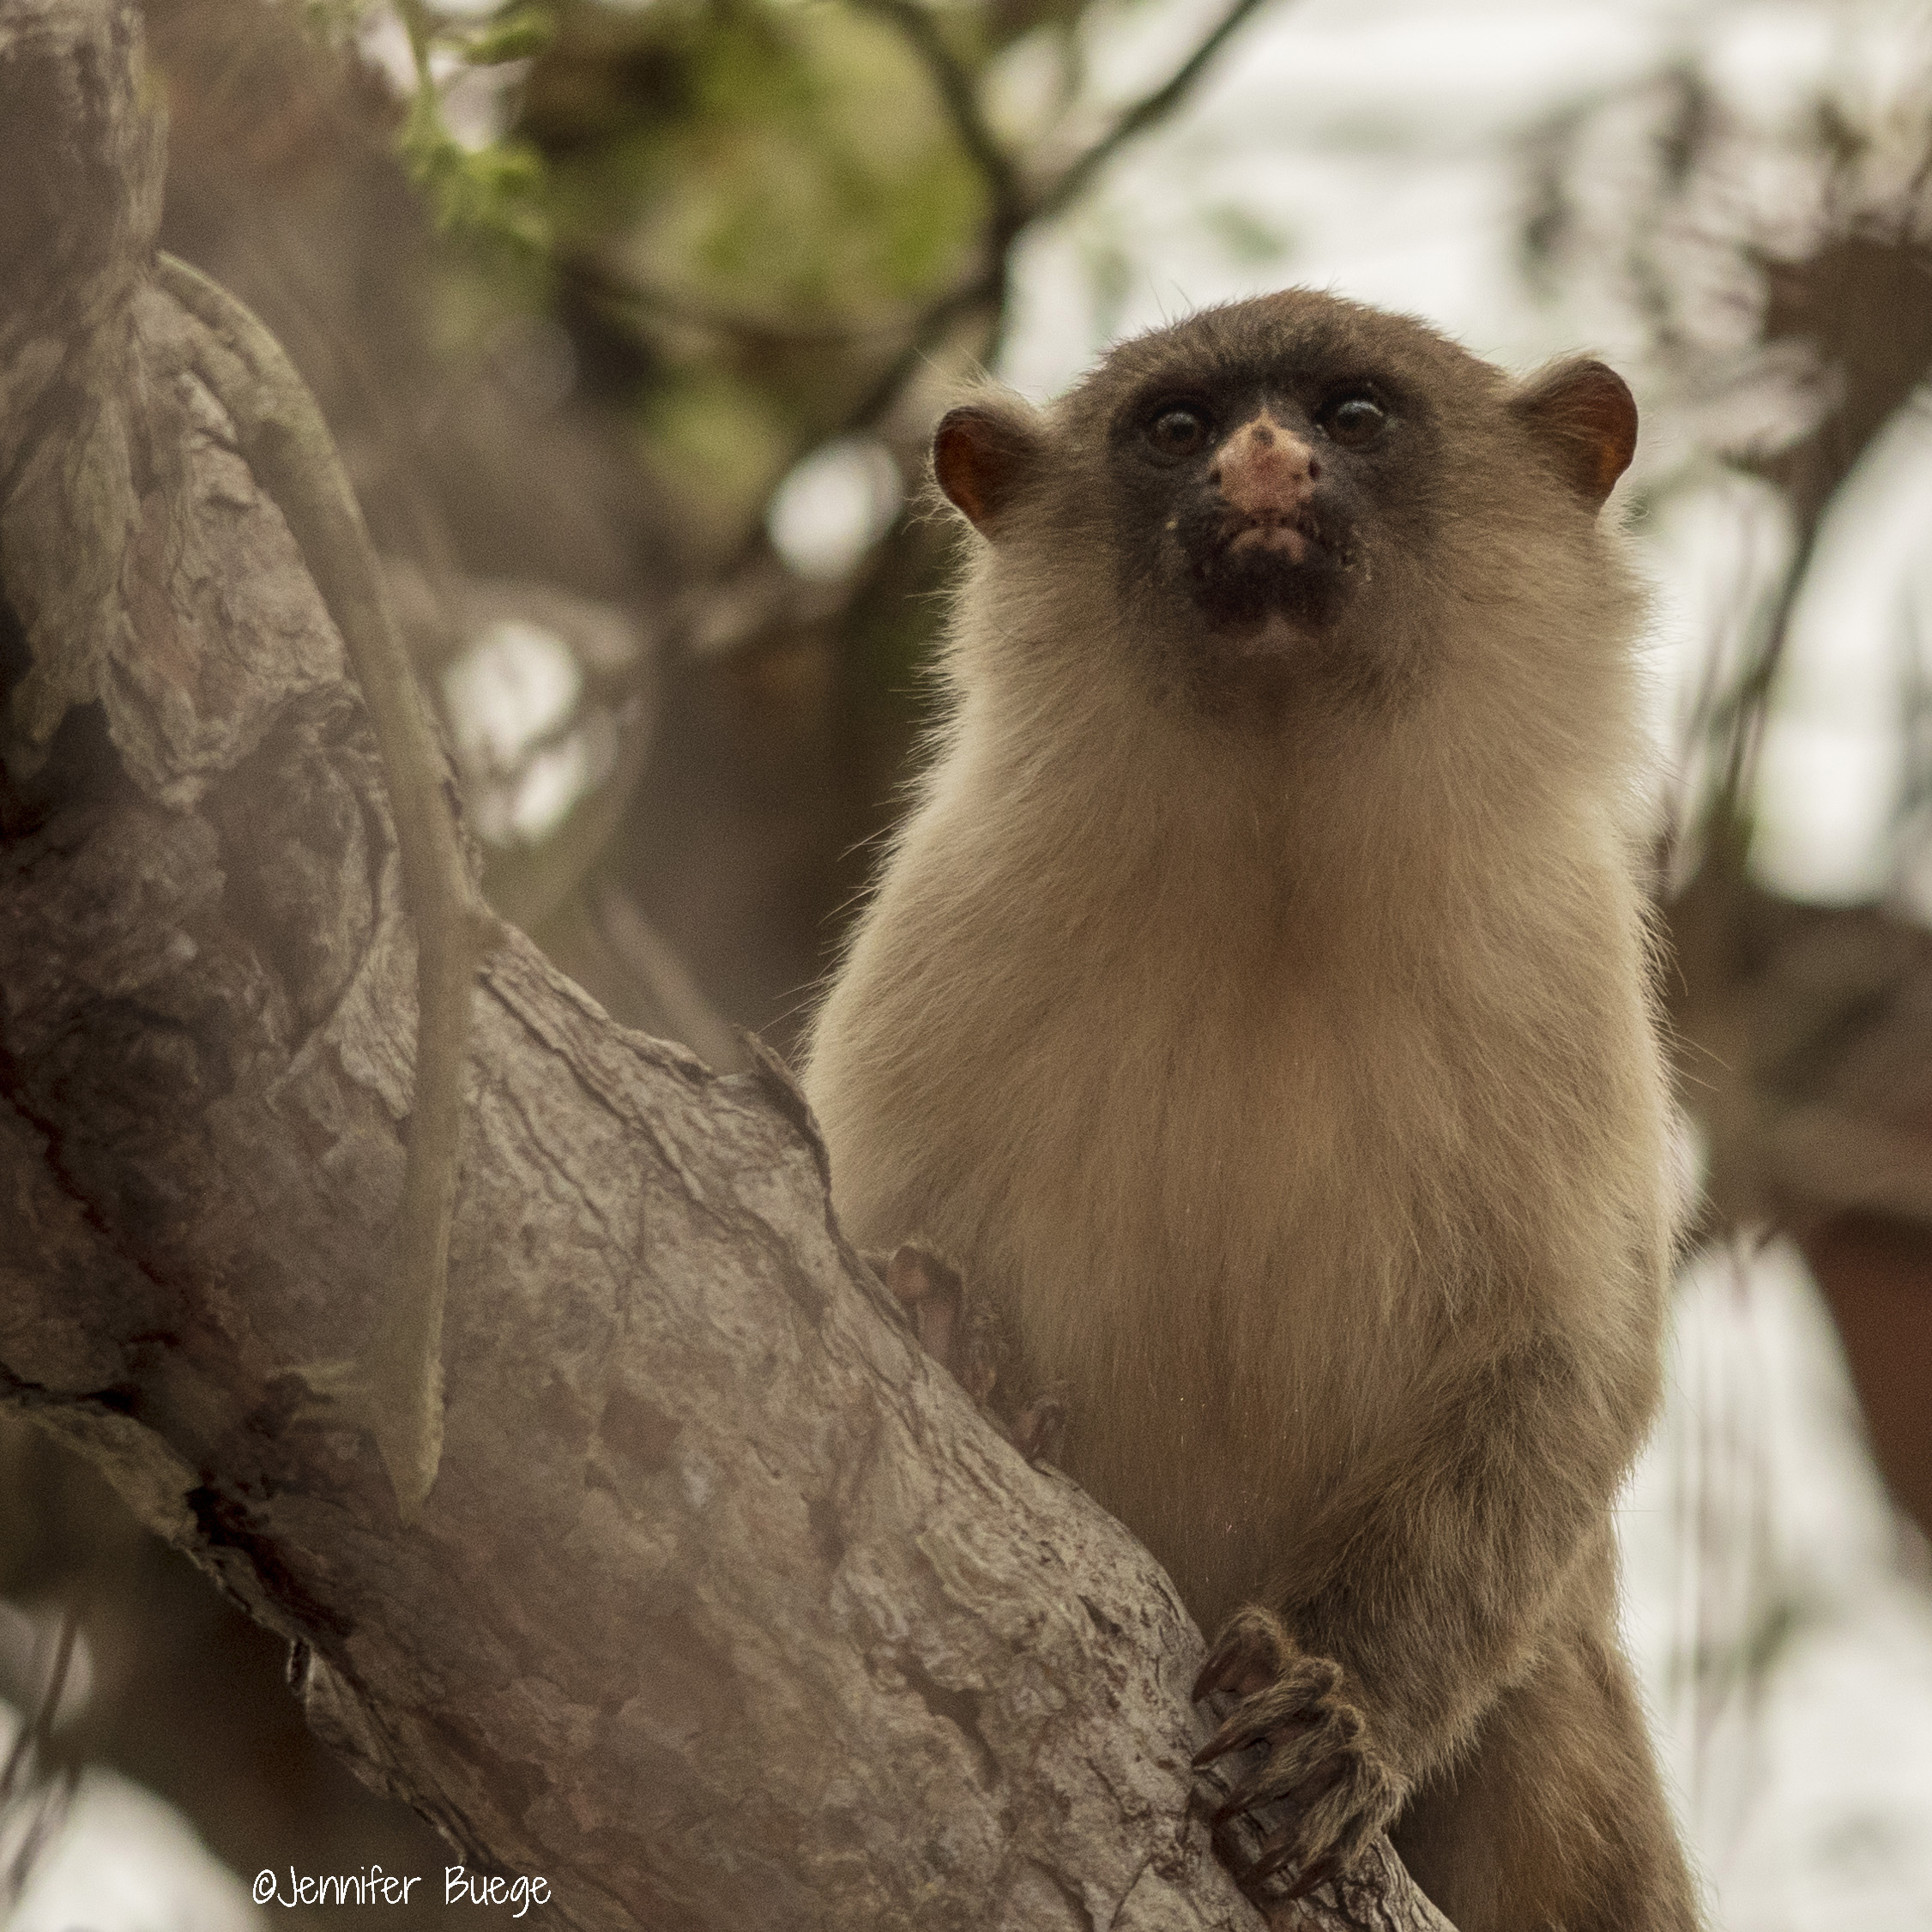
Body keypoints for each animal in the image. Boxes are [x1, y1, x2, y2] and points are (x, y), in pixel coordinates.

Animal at [800, 289, 1692, 1932]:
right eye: (1177, 428)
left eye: (1351, 414)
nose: (1262, 460)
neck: (1280, 874)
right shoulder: (956, 913)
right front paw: (952, 1335)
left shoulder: (1564, 966)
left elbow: (1560, 1361)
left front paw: (1330, 1720)